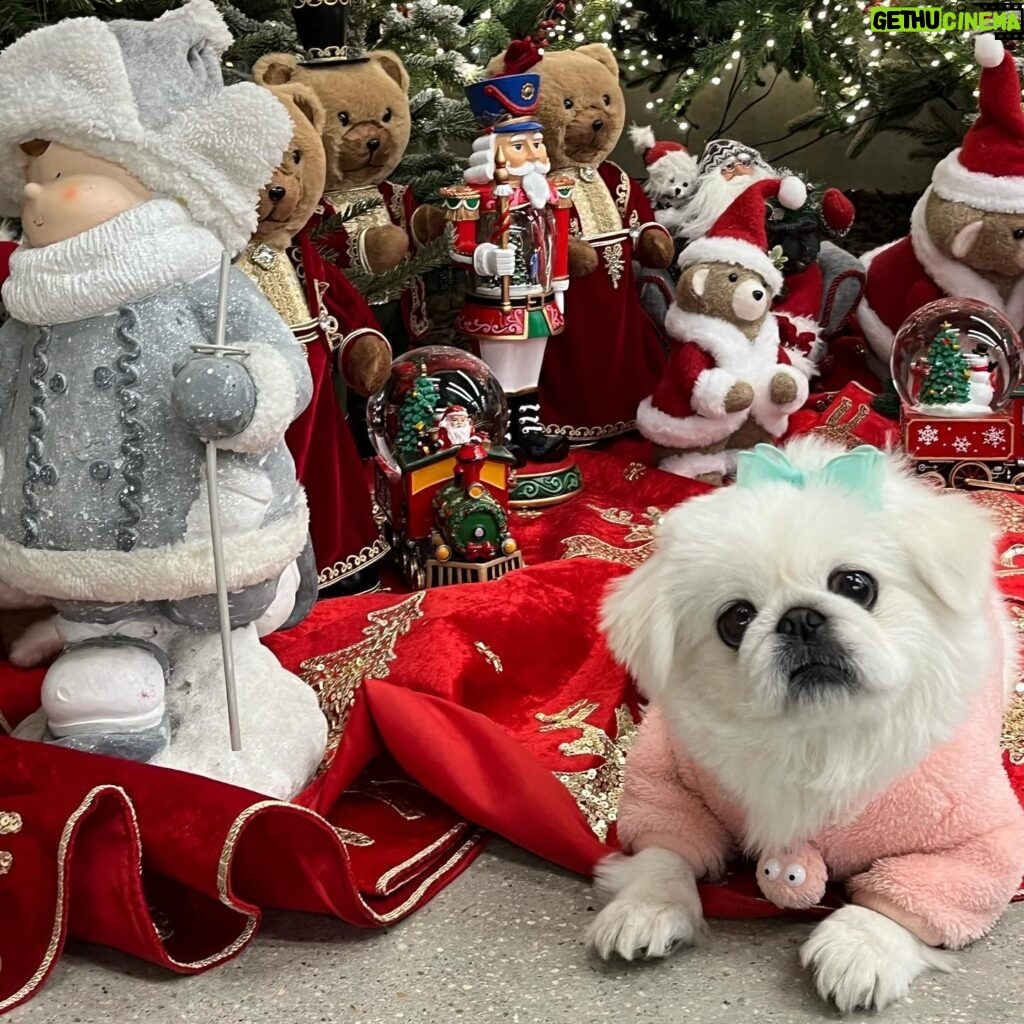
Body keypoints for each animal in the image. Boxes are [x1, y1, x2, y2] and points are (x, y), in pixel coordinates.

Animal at [589, 436, 1024, 1011]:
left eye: (855, 585)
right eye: (736, 619)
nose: (799, 618)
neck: (817, 737)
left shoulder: (976, 842)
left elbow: (908, 898)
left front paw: (862, 948)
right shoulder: (666, 779)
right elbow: (667, 850)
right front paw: (646, 907)